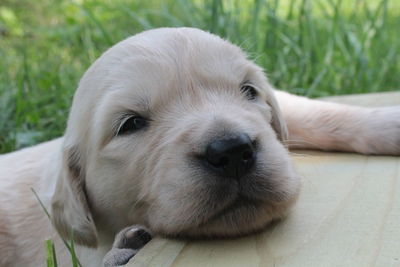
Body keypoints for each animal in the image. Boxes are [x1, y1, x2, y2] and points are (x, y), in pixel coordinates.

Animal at [0, 27, 400, 267]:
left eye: (248, 91)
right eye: (131, 124)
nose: (232, 151)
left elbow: (315, 111)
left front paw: (388, 122)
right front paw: (123, 251)